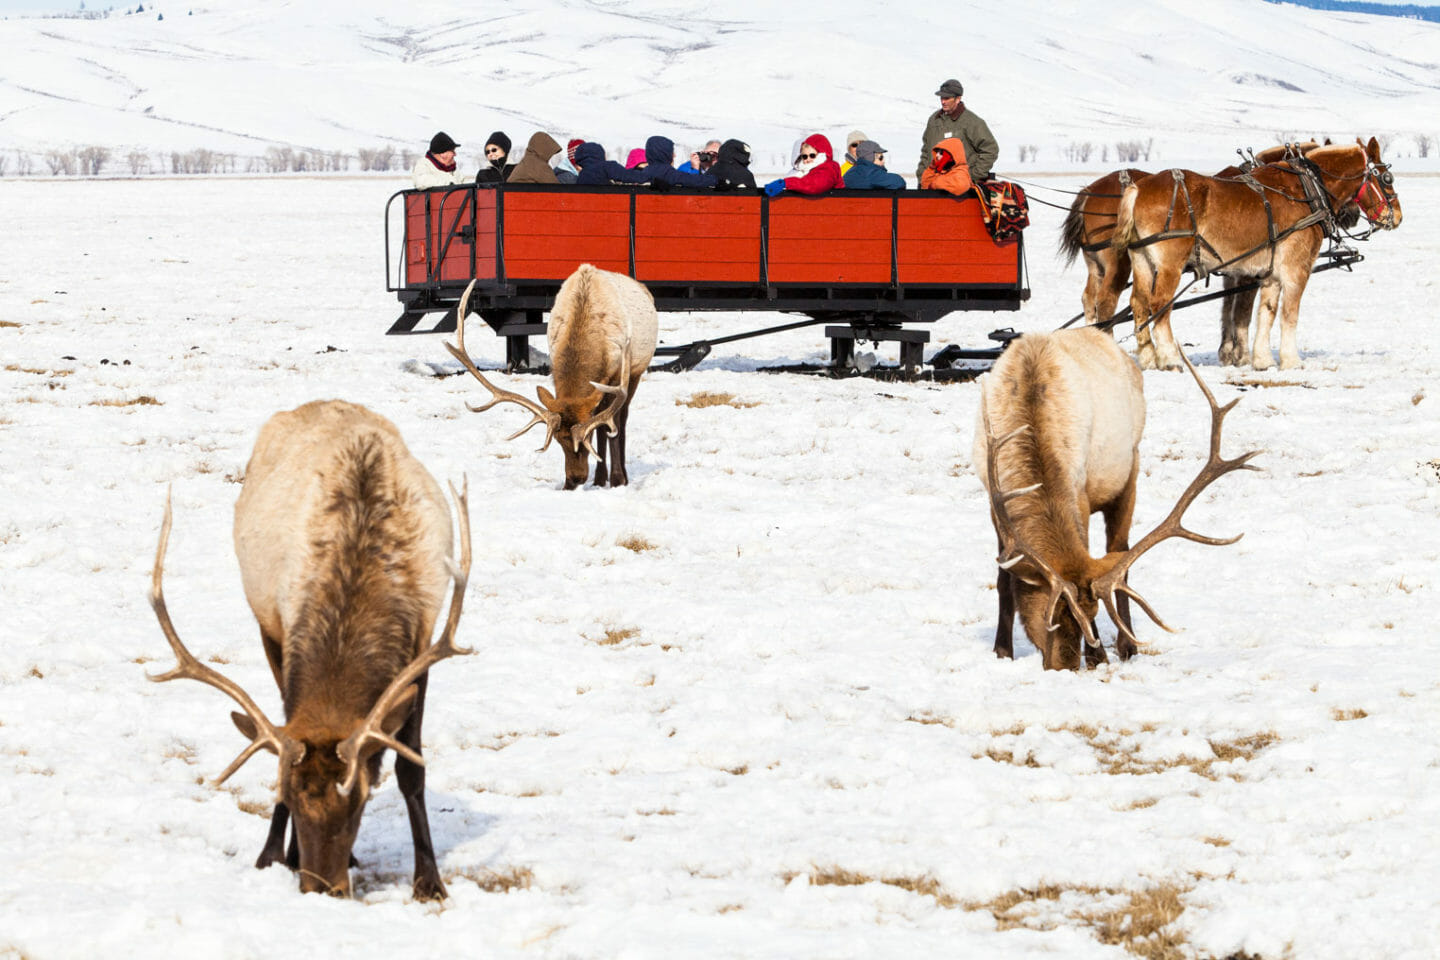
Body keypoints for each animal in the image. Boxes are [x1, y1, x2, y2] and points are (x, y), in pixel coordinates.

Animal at [150, 402, 472, 898]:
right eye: (289, 797)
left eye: (361, 798)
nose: (322, 889)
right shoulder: (279, 629)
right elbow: (285, 734)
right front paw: (275, 855)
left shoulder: (424, 642)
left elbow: (411, 769)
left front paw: (429, 881)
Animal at [443, 263, 659, 489]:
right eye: (557, 440)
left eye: (585, 440)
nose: (574, 479)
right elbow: (601, 424)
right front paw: (601, 479)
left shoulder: (619, 377)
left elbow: (612, 426)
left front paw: (618, 480)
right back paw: (600, 478)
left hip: (636, 372)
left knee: (620, 420)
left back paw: (620, 474)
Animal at [967, 326, 1261, 673]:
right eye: (1049, 617)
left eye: (1093, 616)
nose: (1065, 667)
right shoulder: (994, 500)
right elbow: (1003, 577)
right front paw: (1002, 650)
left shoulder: (1080, 493)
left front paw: (1100, 657)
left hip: (1129, 470)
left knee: (1120, 554)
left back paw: (1127, 645)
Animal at [1105, 138, 1399, 371]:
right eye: (1387, 178)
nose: (1396, 217)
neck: (1308, 189)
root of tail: (1138, 189)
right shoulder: (1296, 269)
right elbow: (1287, 314)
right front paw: (1291, 361)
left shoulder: (1268, 274)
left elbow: (1265, 314)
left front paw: (1262, 360)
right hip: (1169, 265)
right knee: (1160, 305)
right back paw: (1169, 359)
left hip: (1142, 260)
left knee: (1139, 304)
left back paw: (1148, 359)